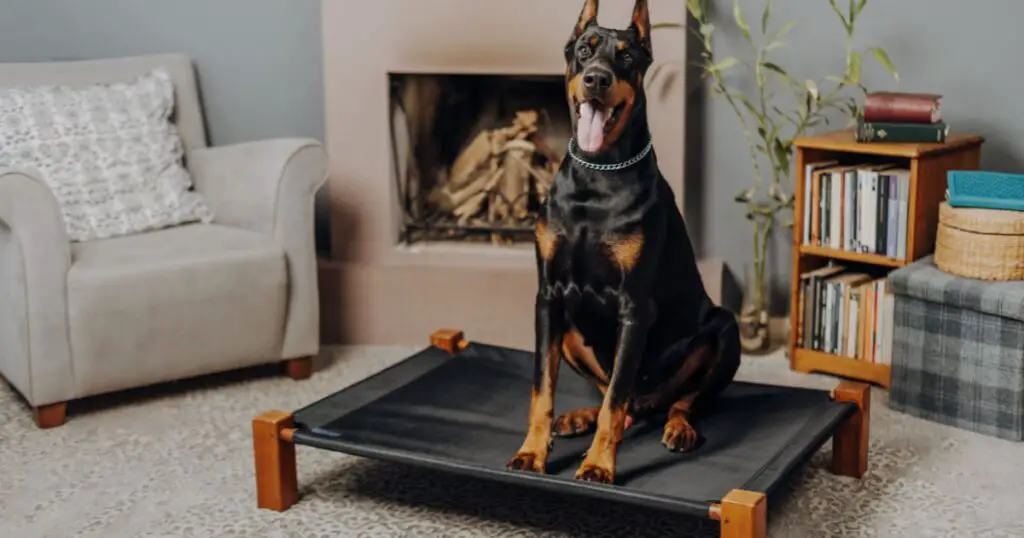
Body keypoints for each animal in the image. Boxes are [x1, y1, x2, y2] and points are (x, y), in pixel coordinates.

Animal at [505, 0, 741, 483]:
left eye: (627, 57)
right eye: (584, 49)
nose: (597, 79)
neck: (597, 176)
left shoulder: (635, 306)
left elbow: (615, 400)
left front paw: (598, 465)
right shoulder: (548, 298)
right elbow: (543, 388)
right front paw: (532, 452)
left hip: (725, 330)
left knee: (676, 400)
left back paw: (679, 427)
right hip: (571, 332)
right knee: (618, 398)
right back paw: (579, 417)